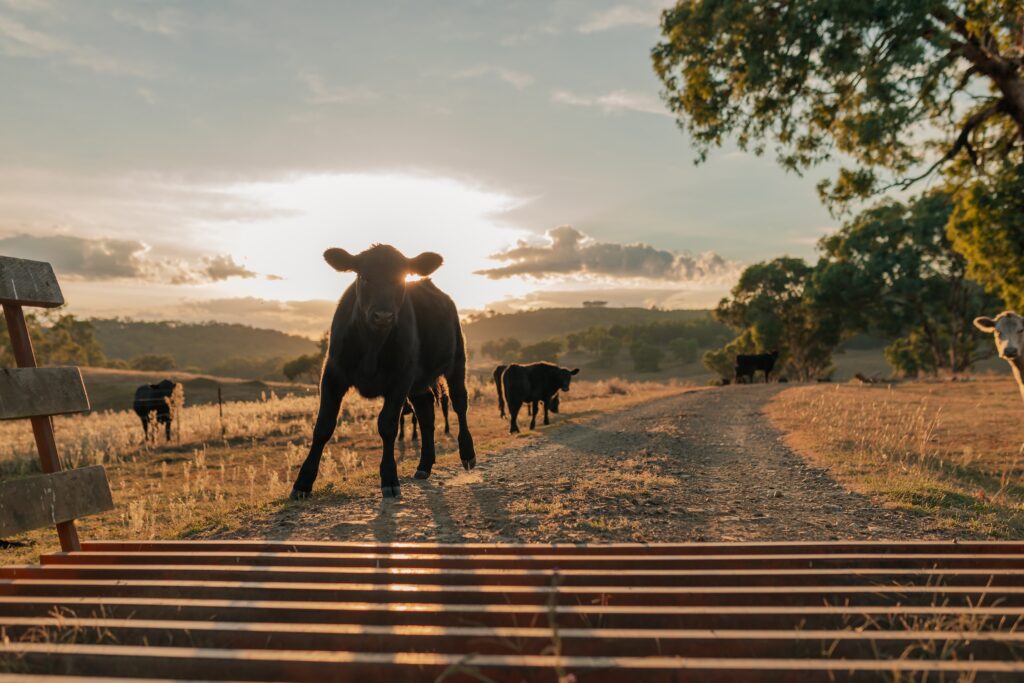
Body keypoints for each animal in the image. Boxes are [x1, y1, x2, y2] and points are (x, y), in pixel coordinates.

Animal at [290, 245, 475, 500]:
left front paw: (389, 478)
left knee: (459, 404)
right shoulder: (332, 374)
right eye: (364, 277)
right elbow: (323, 426)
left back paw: (467, 454)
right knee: (426, 412)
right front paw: (303, 482)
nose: (383, 316)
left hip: (457, 361)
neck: (372, 344)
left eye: (400, 278)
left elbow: (387, 425)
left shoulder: (400, 378)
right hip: (418, 382)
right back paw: (424, 465)